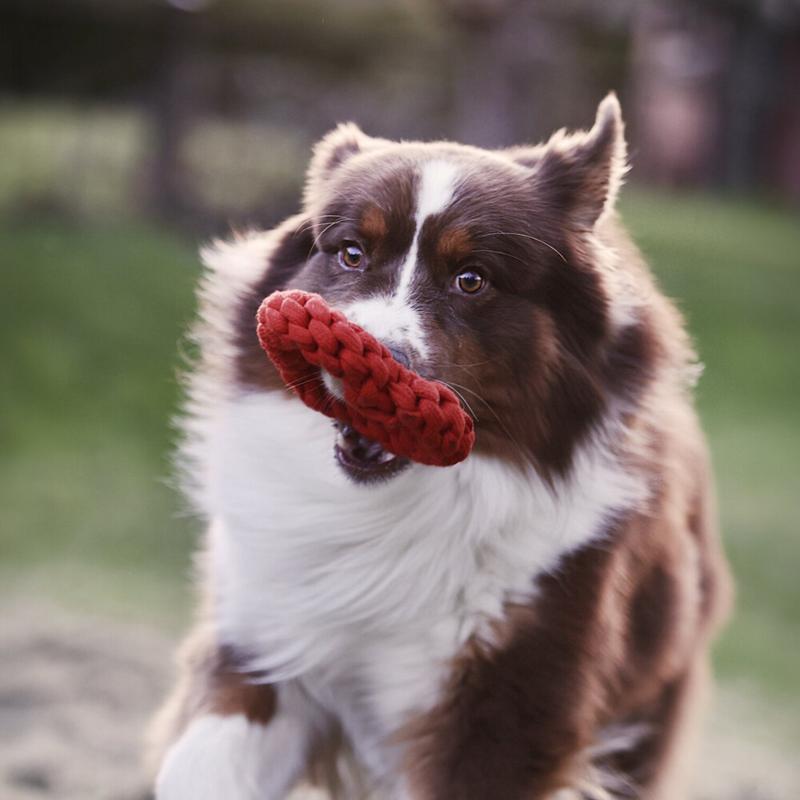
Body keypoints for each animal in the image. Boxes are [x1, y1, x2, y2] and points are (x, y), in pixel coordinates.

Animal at [148, 95, 732, 800]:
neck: (393, 514)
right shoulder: (267, 641)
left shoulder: (505, 716)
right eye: (350, 253)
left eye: (471, 279)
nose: (358, 366)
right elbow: (198, 764)